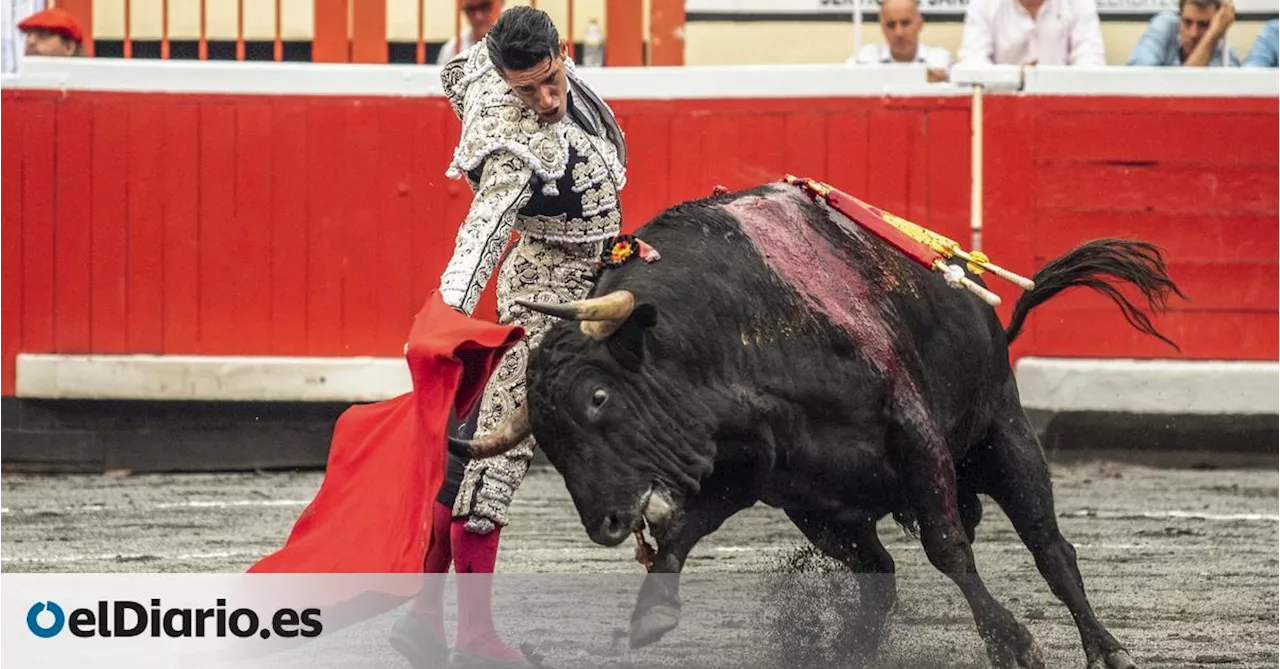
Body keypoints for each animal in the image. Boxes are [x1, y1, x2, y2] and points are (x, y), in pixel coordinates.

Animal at [450, 182, 1177, 669]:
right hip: (827, 515)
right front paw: (650, 613)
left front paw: (1014, 642)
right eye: (549, 441)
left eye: (599, 397)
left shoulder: (913, 431)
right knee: (879, 575)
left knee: (1051, 547)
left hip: (1003, 432)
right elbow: (684, 530)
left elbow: (948, 547)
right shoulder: (751, 474)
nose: (605, 522)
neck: (729, 337)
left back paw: (1107, 649)